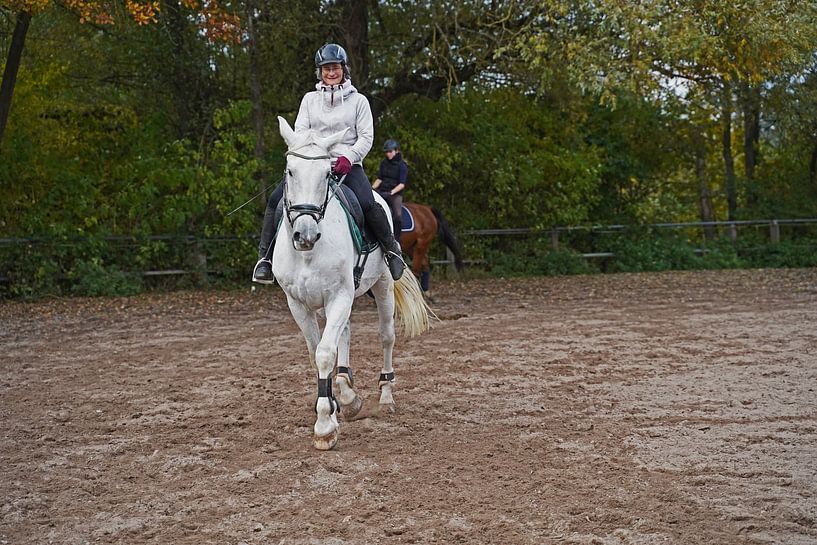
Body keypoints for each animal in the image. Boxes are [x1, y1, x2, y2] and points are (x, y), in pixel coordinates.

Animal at [271, 116, 433, 450]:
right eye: (290, 171)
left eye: (327, 174)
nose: (305, 235)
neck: (309, 253)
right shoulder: (298, 304)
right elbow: (316, 353)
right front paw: (335, 405)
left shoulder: (340, 296)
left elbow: (324, 353)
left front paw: (324, 427)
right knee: (344, 333)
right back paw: (346, 390)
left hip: (382, 285)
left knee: (386, 336)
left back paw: (385, 396)